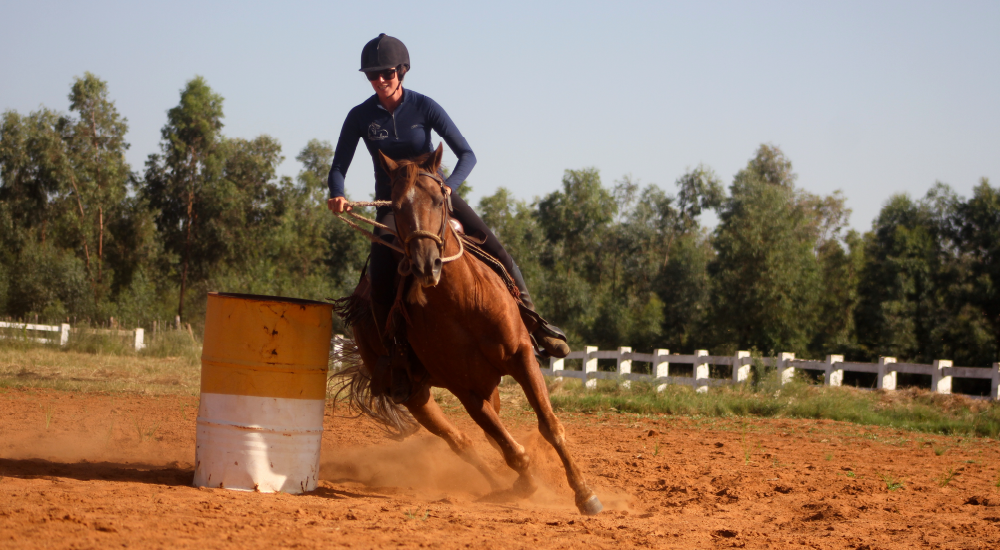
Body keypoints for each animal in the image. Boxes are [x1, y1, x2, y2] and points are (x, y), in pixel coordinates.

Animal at [332, 143, 603, 515]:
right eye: (397, 207)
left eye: (438, 200)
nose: (426, 265)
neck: (462, 302)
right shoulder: (465, 389)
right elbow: (508, 446)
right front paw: (527, 481)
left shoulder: (521, 358)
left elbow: (549, 425)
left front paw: (584, 493)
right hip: (417, 394)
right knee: (461, 441)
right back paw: (500, 483)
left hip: (488, 385)